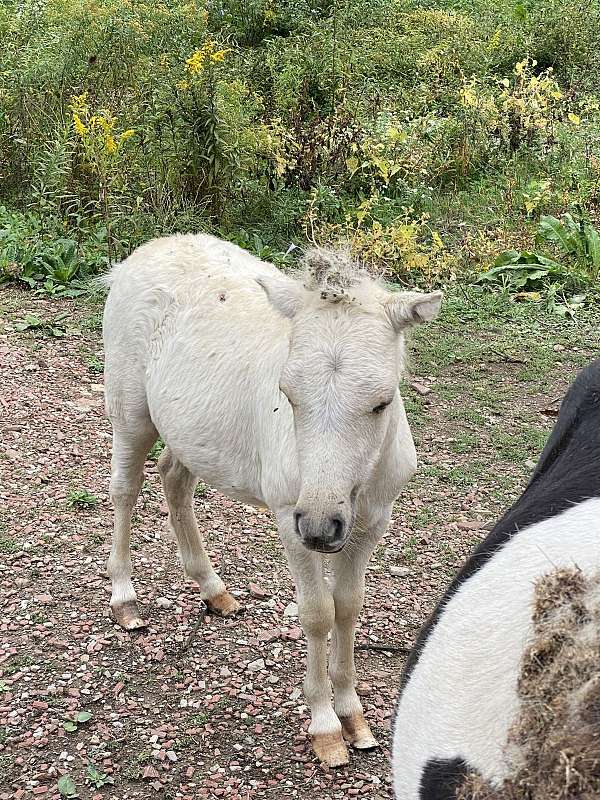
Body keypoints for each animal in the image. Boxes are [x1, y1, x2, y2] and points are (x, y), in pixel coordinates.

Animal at [102, 233, 440, 768]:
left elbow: (348, 606)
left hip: (193, 432)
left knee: (173, 478)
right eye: (288, 394)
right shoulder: (289, 518)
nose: (321, 526)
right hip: (131, 411)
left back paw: (213, 589)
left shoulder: (370, 522)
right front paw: (326, 727)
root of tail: (148, 250)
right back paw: (125, 598)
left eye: (382, 402)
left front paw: (354, 715)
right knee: (124, 490)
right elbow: (318, 614)